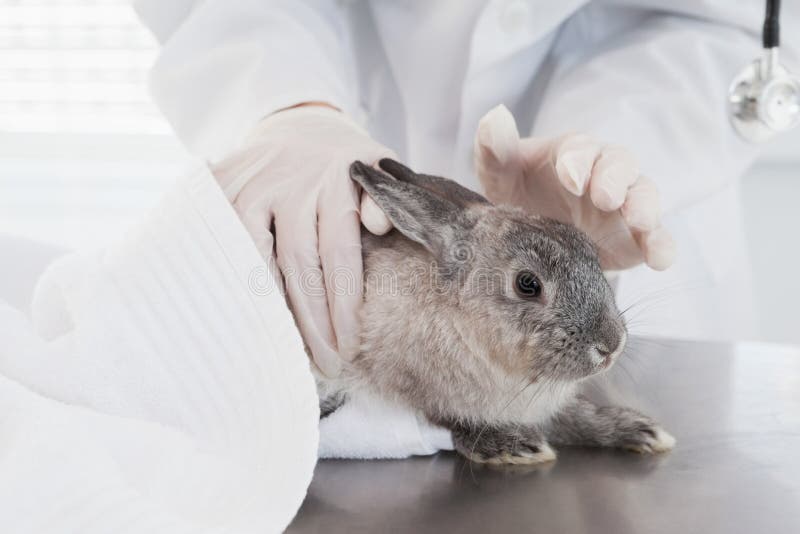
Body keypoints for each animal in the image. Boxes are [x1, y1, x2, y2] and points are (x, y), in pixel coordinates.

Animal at [315, 158, 675, 465]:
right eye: (527, 284)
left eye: (591, 252)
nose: (611, 344)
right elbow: (446, 417)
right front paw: (515, 445)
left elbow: (577, 416)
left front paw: (637, 430)